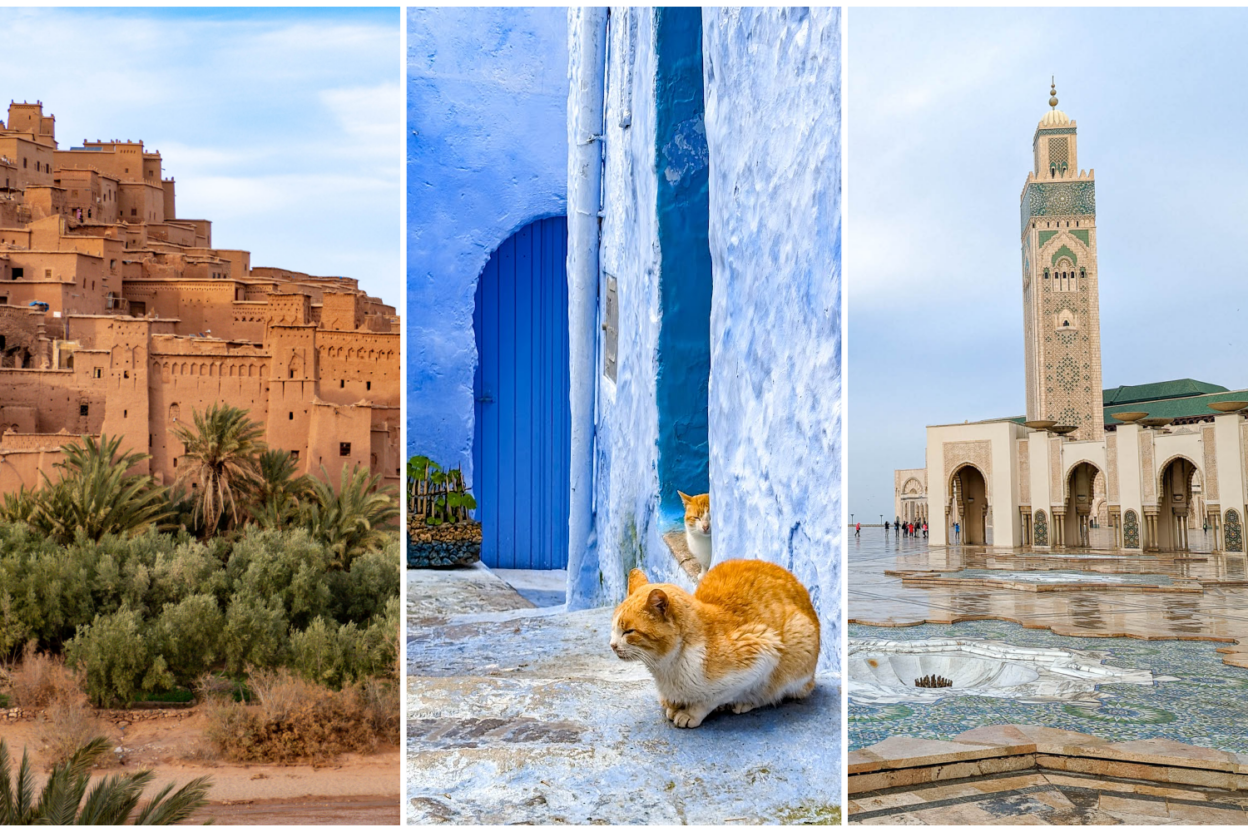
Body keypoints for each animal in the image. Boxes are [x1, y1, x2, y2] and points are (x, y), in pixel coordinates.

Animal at [611, 558, 823, 728]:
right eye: (613, 628)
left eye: (628, 631)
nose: (612, 645)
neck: (667, 668)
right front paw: (674, 705)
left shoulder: (763, 648)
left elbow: (714, 698)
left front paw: (691, 713)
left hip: (799, 641)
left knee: (774, 691)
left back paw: (745, 703)